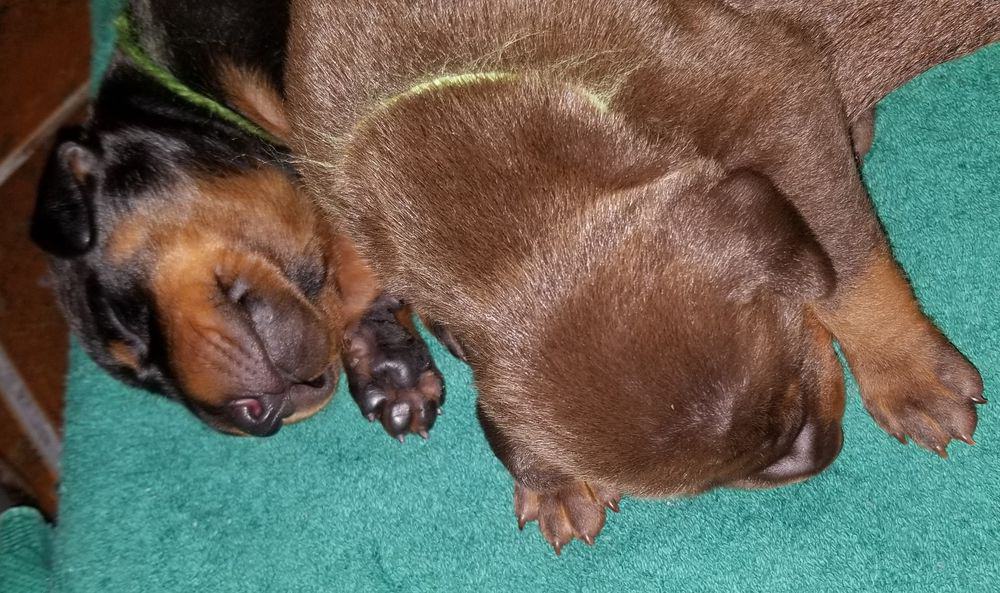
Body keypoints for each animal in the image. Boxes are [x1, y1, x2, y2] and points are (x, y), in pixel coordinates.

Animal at [286, 0, 996, 552]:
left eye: (794, 393)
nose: (814, 457)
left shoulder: (774, 90)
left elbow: (847, 262)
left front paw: (908, 371)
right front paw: (551, 478)